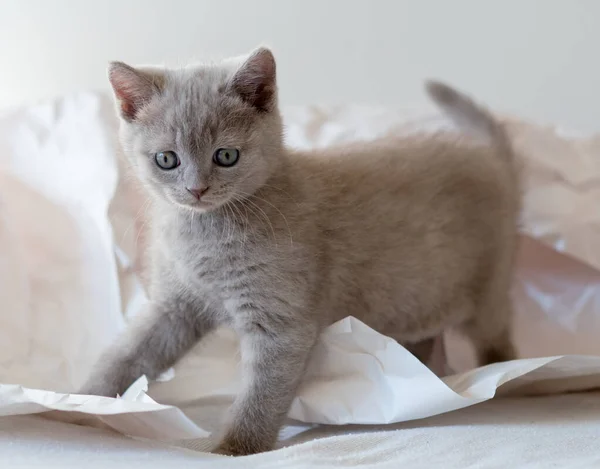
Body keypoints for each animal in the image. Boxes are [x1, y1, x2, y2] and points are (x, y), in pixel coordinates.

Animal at [81, 47, 520, 454]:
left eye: (226, 155)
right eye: (166, 159)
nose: (196, 189)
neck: (205, 233)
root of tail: (490, 158)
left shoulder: (280, 322)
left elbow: (261, 393)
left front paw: (233, 447)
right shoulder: (175, 306)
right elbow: (129, 353)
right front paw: (82, 401)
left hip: (490, 288)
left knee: (495, 337)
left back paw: (508, 378)